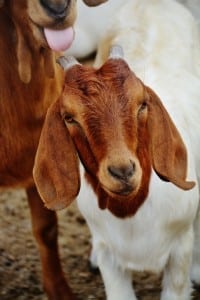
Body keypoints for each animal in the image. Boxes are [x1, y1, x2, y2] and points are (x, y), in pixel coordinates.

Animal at [34, 0, 200, 300]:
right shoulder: (110, 258)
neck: (132, 212)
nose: (122, 171)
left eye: (142, 103)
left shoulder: (178, 252)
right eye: (69, 117)